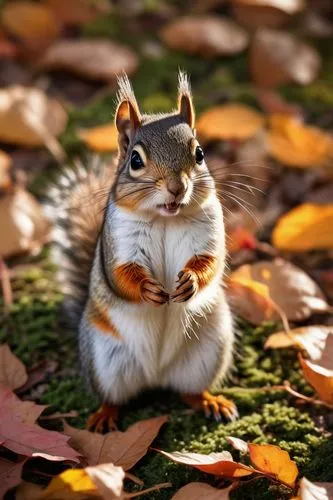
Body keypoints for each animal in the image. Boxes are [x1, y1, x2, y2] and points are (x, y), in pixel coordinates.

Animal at [46, 72, 237, 432]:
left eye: (200, 153)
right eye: (135, 160)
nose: (177, 188)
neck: (165, 218)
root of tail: (156, 376)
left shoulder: (207, 230)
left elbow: (211, 261)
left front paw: (191, 281)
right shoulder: (118, 242)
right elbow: (121, 275)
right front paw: (148, 289)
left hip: (208, 350)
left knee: (189, 390)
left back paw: (210, 401)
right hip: (105, 360)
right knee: (114, 397)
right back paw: (104, 416)